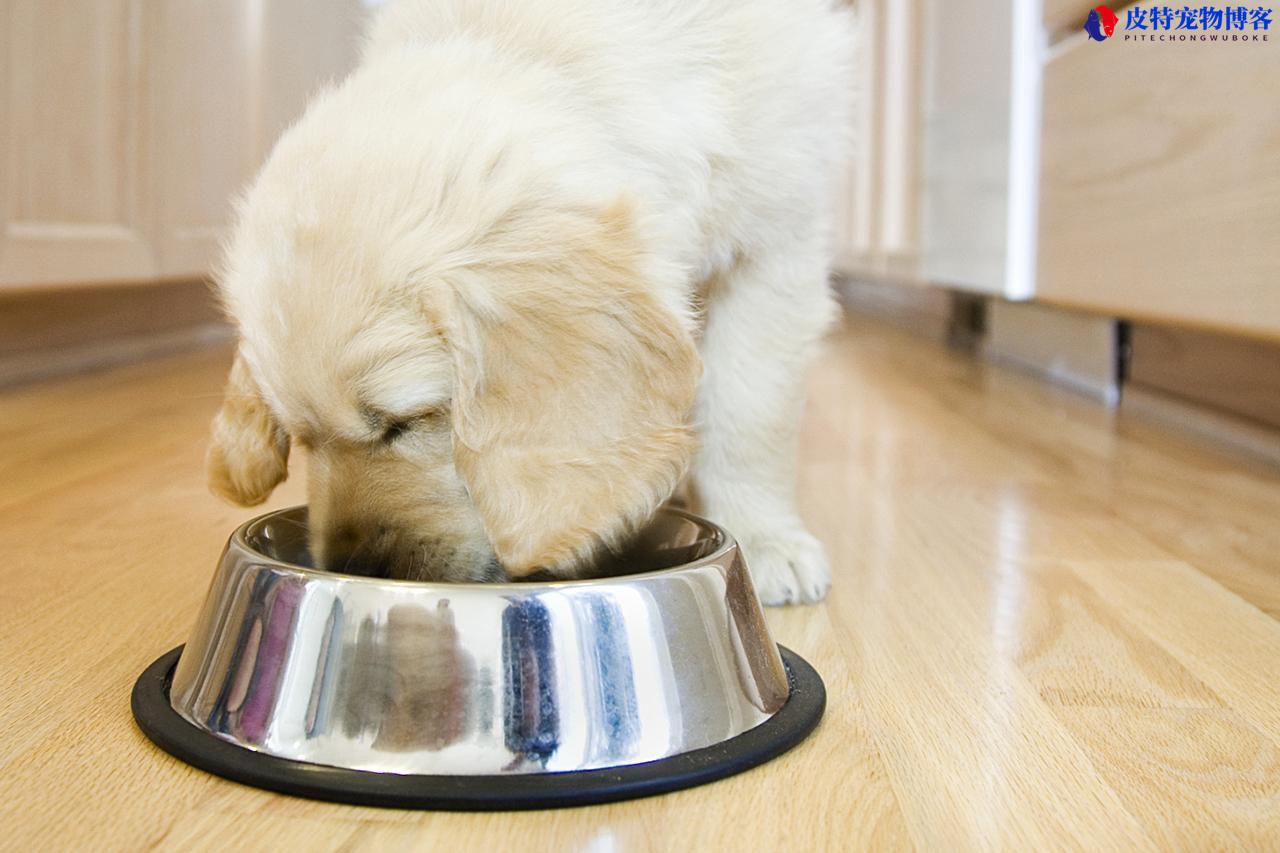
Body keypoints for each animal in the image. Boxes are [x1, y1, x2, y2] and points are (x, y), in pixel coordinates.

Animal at [207, 0, 849, 604]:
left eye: (403, 422)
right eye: (301, 439)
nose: (353, 570)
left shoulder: (773, 245)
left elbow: (750, 416)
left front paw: (764, 538)